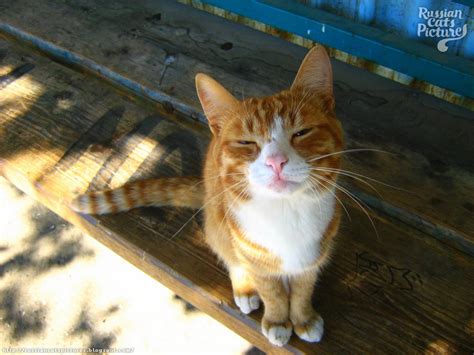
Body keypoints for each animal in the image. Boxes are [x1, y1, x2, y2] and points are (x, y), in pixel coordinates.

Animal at [72, 45, 342, 348]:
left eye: (301, 132)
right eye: (246, 142)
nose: (276, 162)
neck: (286, 213)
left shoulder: (315, 256)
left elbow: (303, 290)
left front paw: (303, 318)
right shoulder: (251, 252)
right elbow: (270, 290)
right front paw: (276, 319)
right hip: (218, 223)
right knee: (228, 253)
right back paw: (245, 288)